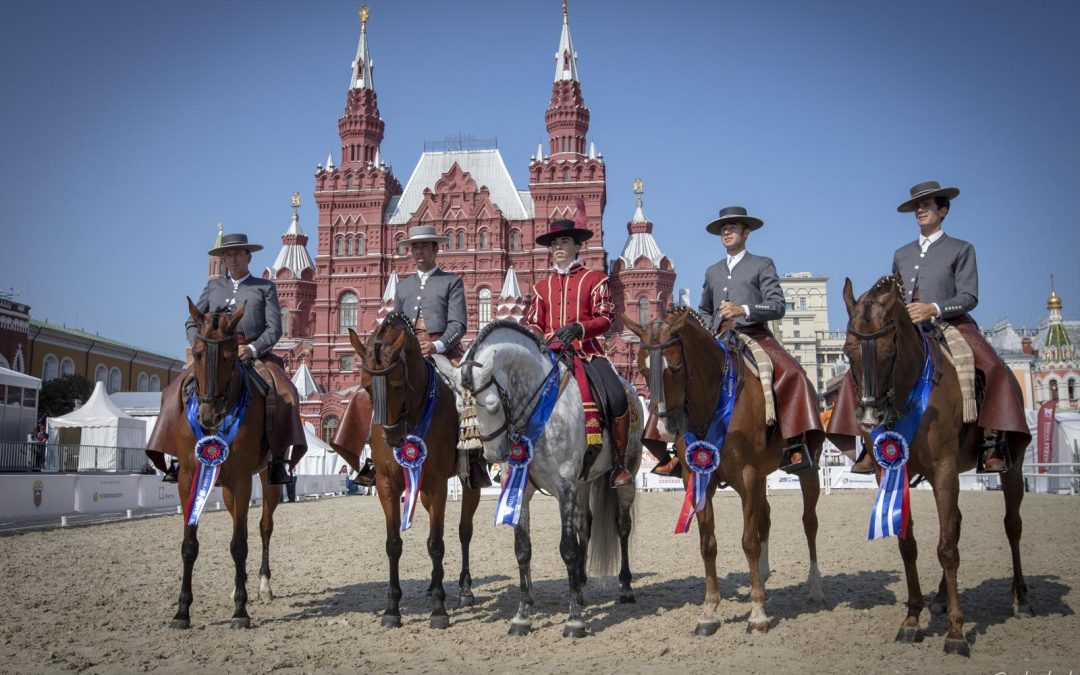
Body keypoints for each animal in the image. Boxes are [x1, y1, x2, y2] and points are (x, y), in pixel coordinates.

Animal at [170, 300, 293, 626]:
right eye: (198, 352)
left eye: (229, 356)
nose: (209, 416)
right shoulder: (188, 478)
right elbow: (189, 545)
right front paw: (182, 610)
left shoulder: (241, 478)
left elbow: (239, 545)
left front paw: (241, 610)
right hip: (225, 489)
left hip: (267, 481)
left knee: (263, 527)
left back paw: (262, 586)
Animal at [347, 313, 483, 630]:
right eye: (366, 386)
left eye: (398, 384)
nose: (393, 438)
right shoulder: (387, 486)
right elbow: (393, 544)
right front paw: (392, 609)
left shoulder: (437, 484)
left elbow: (436, 543)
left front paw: (439, 610)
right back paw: (433, 586)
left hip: (468, 483)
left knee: (465, 531)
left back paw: (464, 589)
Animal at [447, 319, 639, 635]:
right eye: (459, 409)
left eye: (492, 404)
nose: (495, 455)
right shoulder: (522, 488)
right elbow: (523, 549)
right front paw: (522, 615)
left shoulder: (565, 485)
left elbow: (568, 548)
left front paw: (574, 621)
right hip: (584, 482)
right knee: (585, 525)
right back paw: (581, 587)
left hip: (627, 475)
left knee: (622, 527)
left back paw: (625, 588)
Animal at [622, 308, 820, 635]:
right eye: (641, 367)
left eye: (676, 366)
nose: (666, 429)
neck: (712, 400)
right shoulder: (699, 478)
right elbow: (708, 545)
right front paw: (709, 612)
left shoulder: (748, 474)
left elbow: (749, 542)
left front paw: (757, 614)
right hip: (761, 477)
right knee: (765, 517)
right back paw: (763, 579)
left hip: (807, 469)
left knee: (809, 522)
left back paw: (814, 585)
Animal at [842, 274, 1028, 652]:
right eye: (847, 351)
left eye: (889, 349)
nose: (869, 418)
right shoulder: (891, 471)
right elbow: (908, 545)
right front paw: (912, 619)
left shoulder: (943, 469)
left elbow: (946, 548)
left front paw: (956, 631)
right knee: (956, 523)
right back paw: (941, 598)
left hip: (1011, 468)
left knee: (1011, 525)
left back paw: (1020, 597)